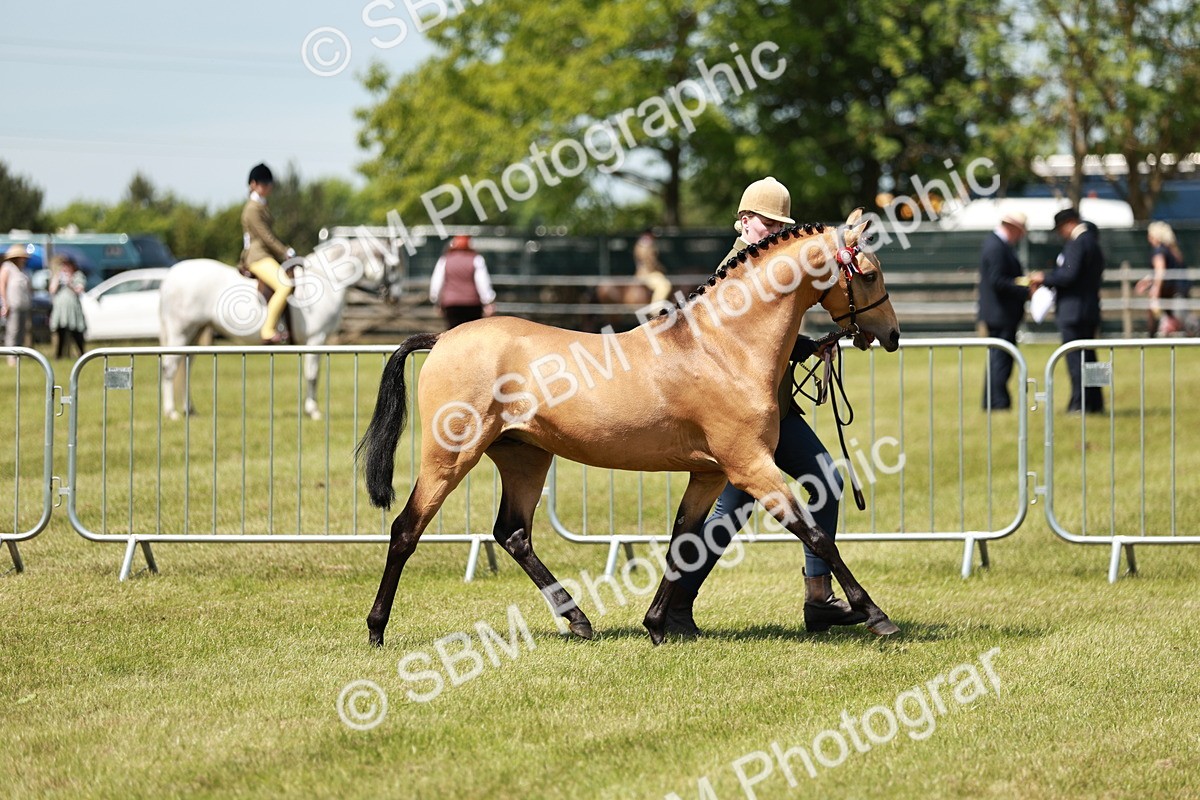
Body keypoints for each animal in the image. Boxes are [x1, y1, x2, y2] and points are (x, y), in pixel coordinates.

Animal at [158, 238, 398, 420]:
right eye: (394, 266)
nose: (394, 297)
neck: (326, 280)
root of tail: (170, 277)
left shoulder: (318, 342)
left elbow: (315, 373)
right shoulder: (316, 338)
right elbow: (312, 374)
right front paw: (313, 411)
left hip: (195, 333)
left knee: (185, 367)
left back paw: (190, 410)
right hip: (180, 332)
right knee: (169, 367)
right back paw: (171, 412)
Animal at [356, 209, 901, 647]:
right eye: (870, 274)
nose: (892, 335)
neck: (725, 346)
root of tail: (444, 337)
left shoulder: (711, 474)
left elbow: (685, 541)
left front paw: (658, 624)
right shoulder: (751, 467)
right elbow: (816, 535)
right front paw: (875, 615)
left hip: (525, 456)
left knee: (513, 534)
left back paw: (578, 620)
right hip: (450, 457)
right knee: (406, 529)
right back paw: (377, 629)